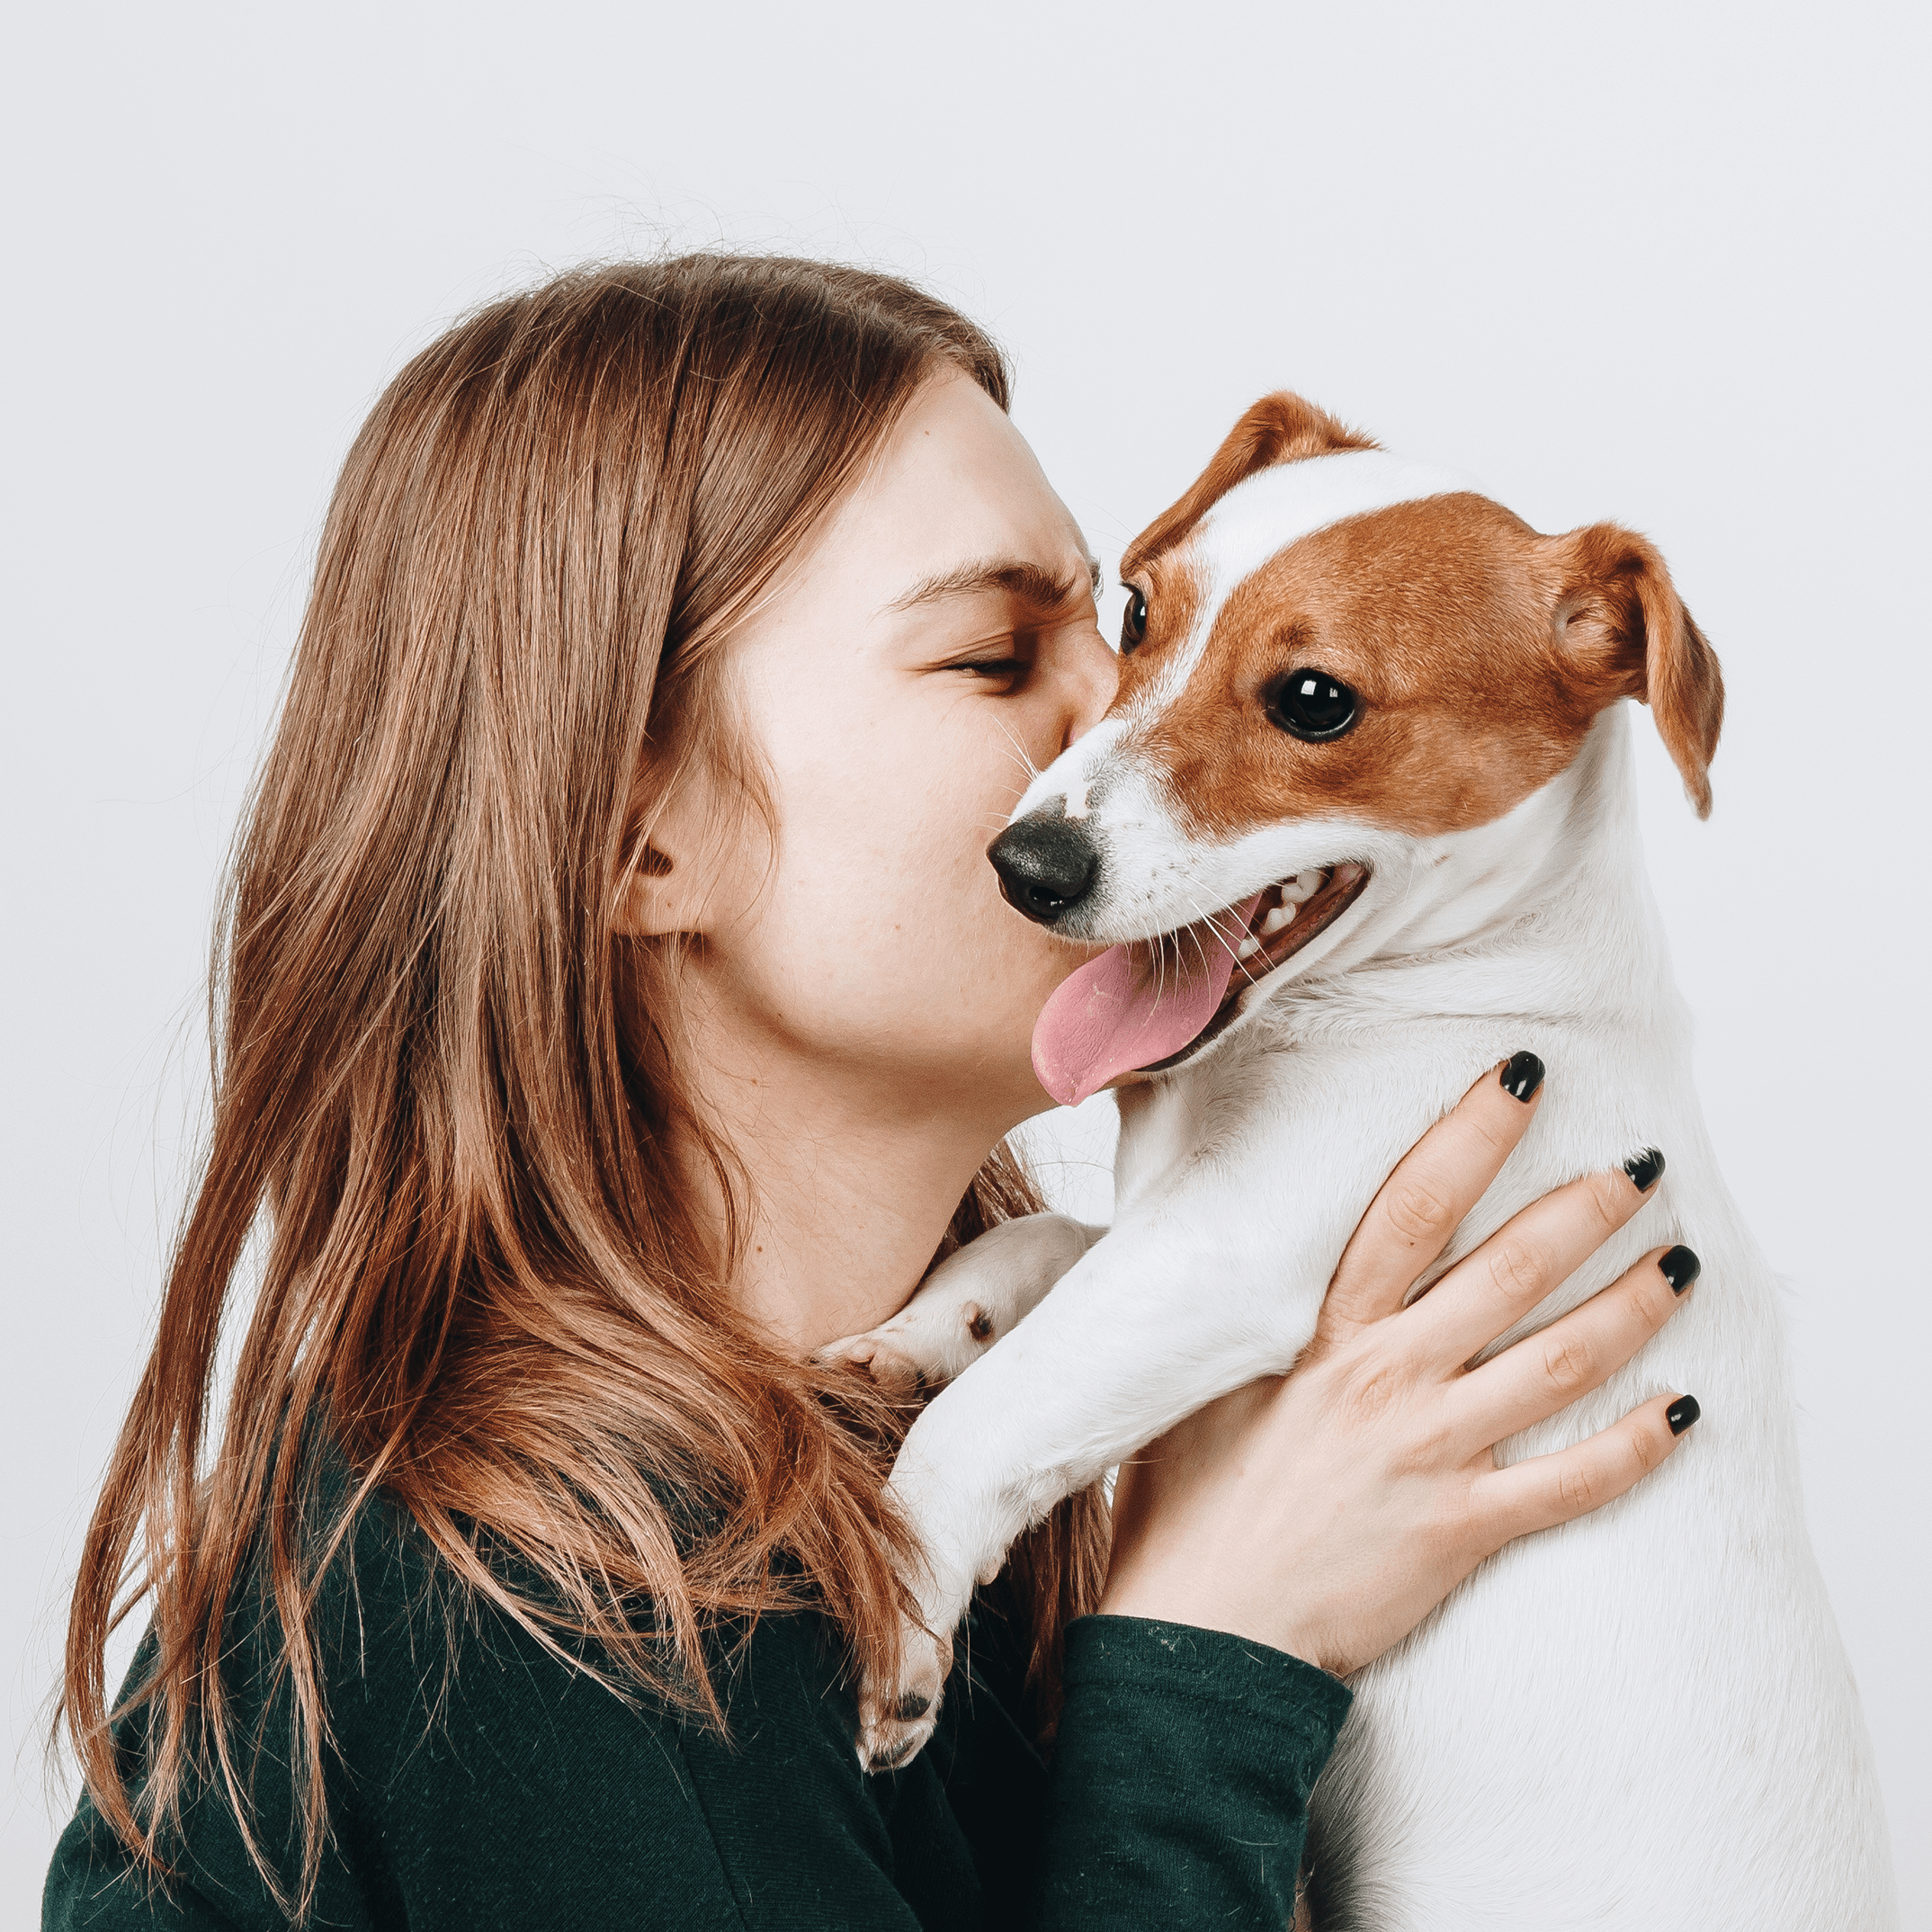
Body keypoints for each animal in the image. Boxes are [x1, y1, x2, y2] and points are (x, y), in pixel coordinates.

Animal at [823, 396, 1893, 1932]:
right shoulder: (1172, 1230)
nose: (1024, 866)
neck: (1470, 990)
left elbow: (990, 1419)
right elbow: (1039, 1254)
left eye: (1316, 700)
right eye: (1136, 612)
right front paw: (918, 1334)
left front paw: (903, 1607)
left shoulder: (1230, 1250)